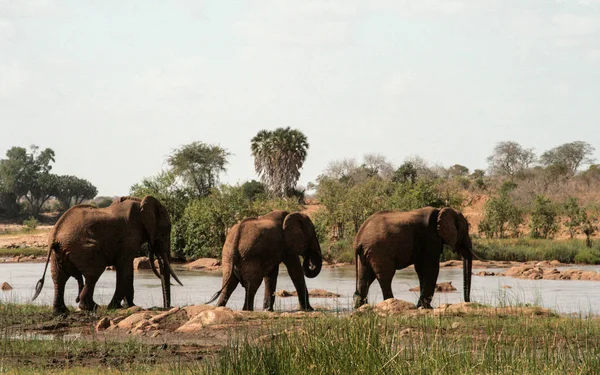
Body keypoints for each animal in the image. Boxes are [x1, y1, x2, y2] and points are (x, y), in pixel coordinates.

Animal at [32, 195, 182, 316]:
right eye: (165, 230)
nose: (167, 307)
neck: (141, 202)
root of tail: (56, 234)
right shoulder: (129, 236)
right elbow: (125, 268)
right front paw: (121, 306)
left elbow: (124, 268)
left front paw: (127, 306)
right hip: (82, 248)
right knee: (94, 272)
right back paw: (92, 307)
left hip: (58, 253)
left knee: (59, 278)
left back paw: (61, 311)